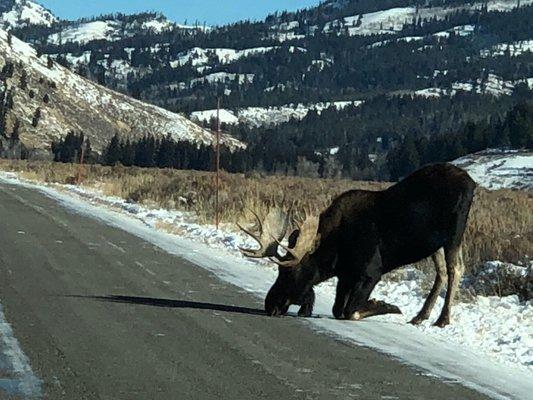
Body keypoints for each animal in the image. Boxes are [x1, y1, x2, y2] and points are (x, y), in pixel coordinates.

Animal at [239, 164, 476, 326]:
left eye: (290, 272)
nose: (270, 304)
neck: (335, 253)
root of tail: (471, 182)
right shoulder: (345, 276)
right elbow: (337, 309)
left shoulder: (371, 272)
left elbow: (349, 311)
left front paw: (387, 305)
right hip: (436, 244)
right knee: (442, 272)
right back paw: (421, 316)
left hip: (455, 233)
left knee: (455, 269)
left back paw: (442, 319)